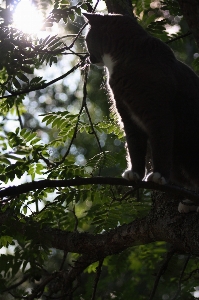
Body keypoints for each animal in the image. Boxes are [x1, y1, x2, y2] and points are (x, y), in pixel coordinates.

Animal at [83, 12, 199, 212]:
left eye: (86, 40)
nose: (88, 58)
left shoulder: (157, 110)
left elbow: (161, 142)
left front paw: (159, 176)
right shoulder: (127, 114)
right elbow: (134, 145)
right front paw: (135, 173)